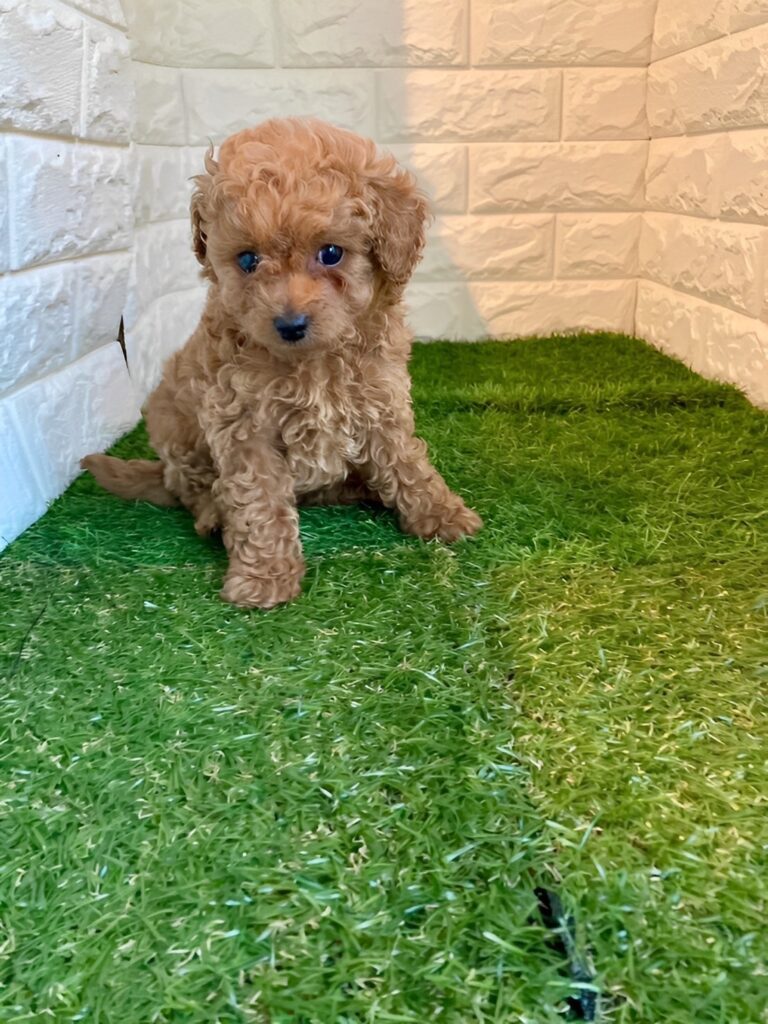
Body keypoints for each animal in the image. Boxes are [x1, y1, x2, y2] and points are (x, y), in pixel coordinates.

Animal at [82, 118, 481, 609]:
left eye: (331, 253)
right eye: (247, 260)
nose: (289, 324)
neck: (313, 361)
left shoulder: (380, 399)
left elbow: (405, 460)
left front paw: (442, 513)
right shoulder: (241, 425)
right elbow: (257, 502)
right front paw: (263, 578)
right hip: (172, 423)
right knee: (191, 487)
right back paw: (213, 514)